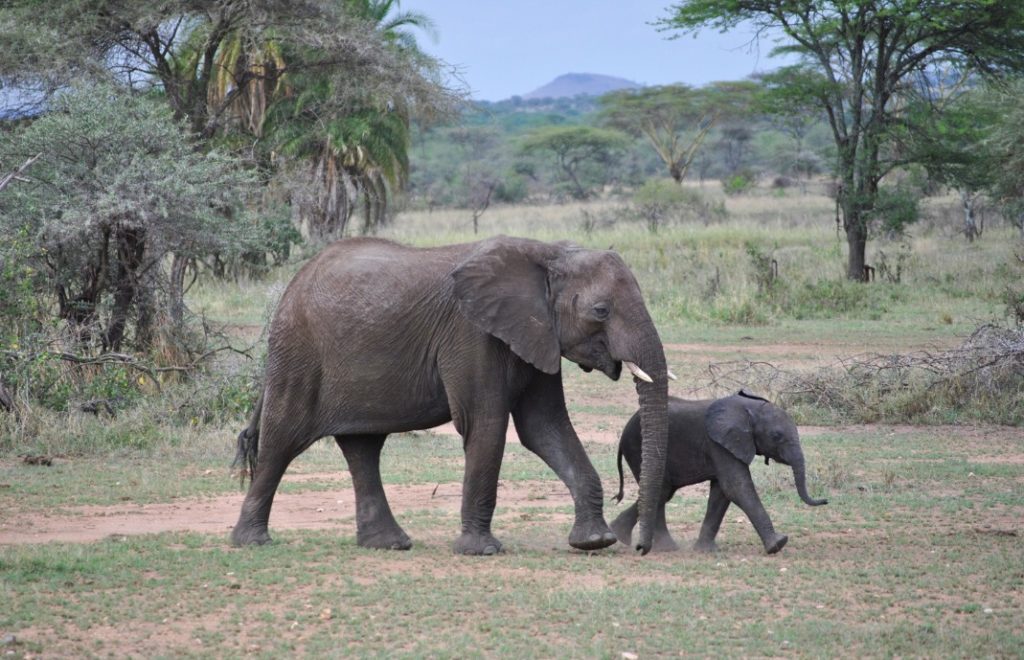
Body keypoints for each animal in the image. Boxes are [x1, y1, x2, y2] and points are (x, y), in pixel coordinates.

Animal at [231, 235, 670, 555]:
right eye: (601, 311)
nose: (641, 549)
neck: (547, 253)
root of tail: (294, 283)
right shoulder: (472, 334)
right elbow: (486, 425)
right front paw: (481, 551)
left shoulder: (535, 335)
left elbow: (545, 428)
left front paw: (594, 542)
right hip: (298, 350)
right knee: (282, 440)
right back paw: (251, 542)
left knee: (363, 447)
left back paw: (388, 544)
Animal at [610, 391, 827, 554]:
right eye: (776, 436)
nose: (825, 501)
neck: (748, 408)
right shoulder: (718, 443)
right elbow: (736, 487)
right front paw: (778, 544)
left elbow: (721, 493)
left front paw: (706, 551)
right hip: (637, 447)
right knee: (662, 491)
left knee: (663, 492)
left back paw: (631, 538)